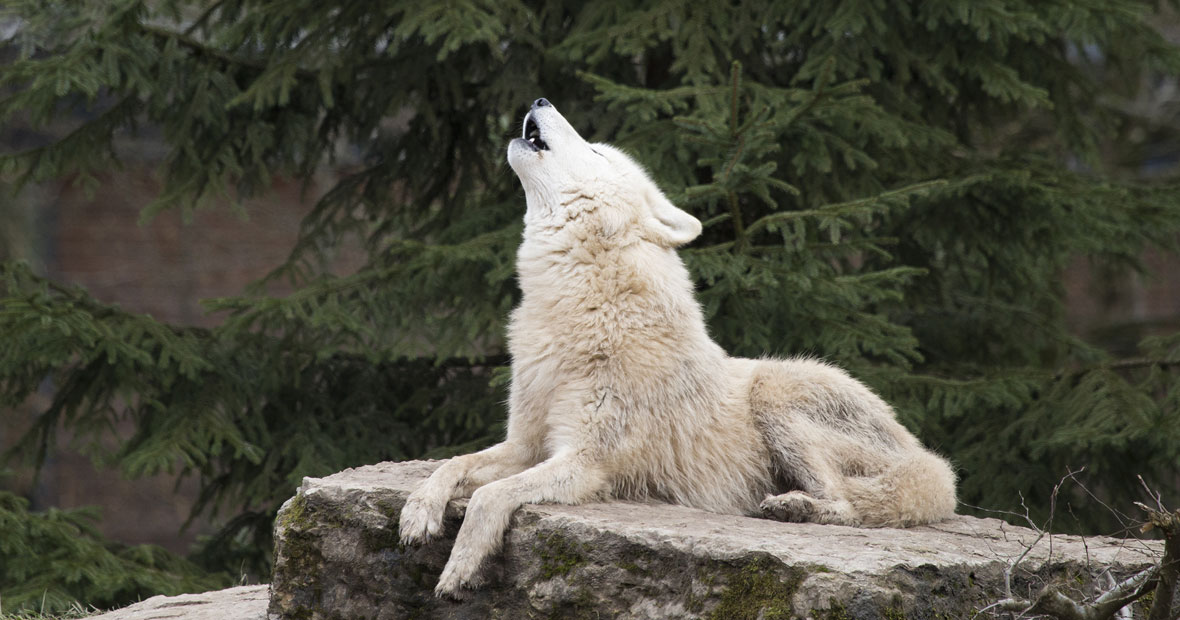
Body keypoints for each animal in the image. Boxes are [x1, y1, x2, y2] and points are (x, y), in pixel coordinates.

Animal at [399, 98, 957, 596]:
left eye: (596, 152)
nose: (539, 99)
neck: (586, 306)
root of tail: (927, 458)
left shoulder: (586, 461)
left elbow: (489, 495)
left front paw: (459, 567)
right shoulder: (526, 444)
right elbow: (453, 465)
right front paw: (419, 512)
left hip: (777, 392)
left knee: (849, 505)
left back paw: (795, 507)